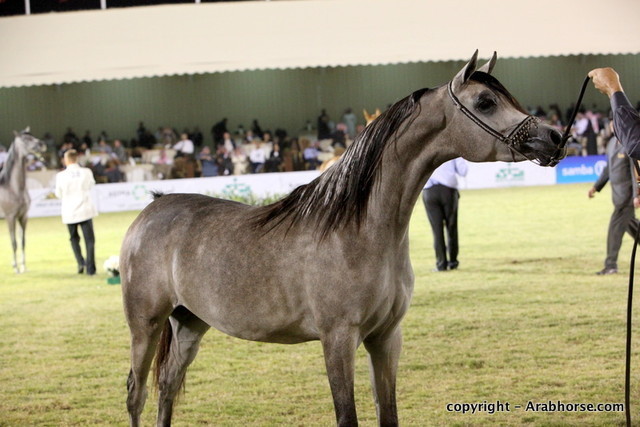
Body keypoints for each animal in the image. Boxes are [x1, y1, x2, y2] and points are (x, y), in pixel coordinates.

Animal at [0, 128, 46, 273]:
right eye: (25, 139)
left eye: (32, 136)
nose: (42, 144)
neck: (12, 188)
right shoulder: (10, 218)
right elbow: (13, 242)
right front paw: (16, 268)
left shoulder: (23, 217)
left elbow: (22, 241)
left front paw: (23, 266)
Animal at [121, 51, 566, 426]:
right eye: (485, 102)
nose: (555, 137)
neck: (359, 231)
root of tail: (151, 209)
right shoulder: (337, 339)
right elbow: (346, 416)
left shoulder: (386, 338)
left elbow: (388, 414)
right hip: (145, 326)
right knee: (136, 394)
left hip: (189, 323)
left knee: (167, 388)